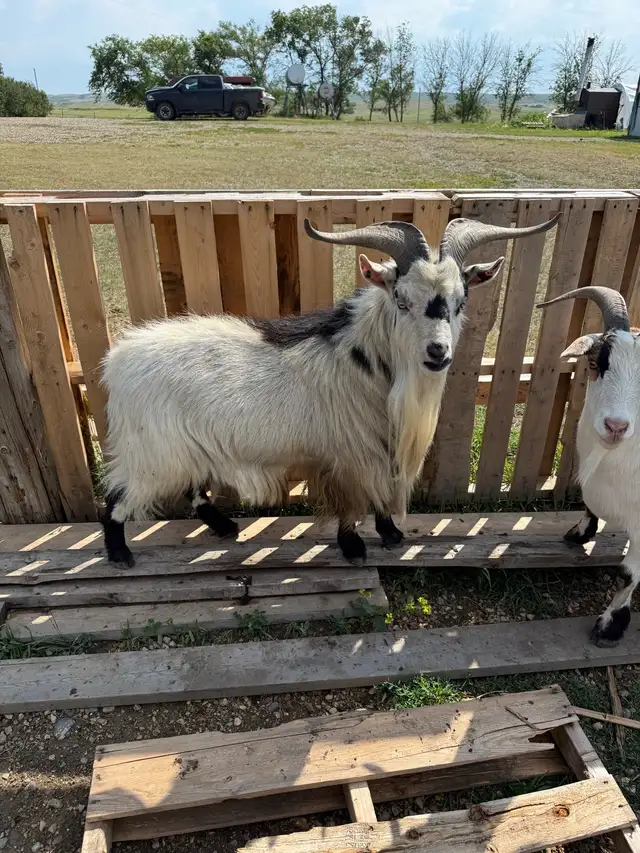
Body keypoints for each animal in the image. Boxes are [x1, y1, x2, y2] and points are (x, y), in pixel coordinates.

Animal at [102, 213, 559, 566]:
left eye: (461, 301)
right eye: (401, 299)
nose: (437, 352)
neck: (365, 360)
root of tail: (116, 361)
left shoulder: (378, 445)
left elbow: (381, 492)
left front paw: (390, 533)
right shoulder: (351, 452)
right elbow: (355, 499)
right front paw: (354, 545)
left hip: (186, 444)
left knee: (194, 486)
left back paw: (224, 526)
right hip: (151, 452)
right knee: (118, 498)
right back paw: (119, 554)